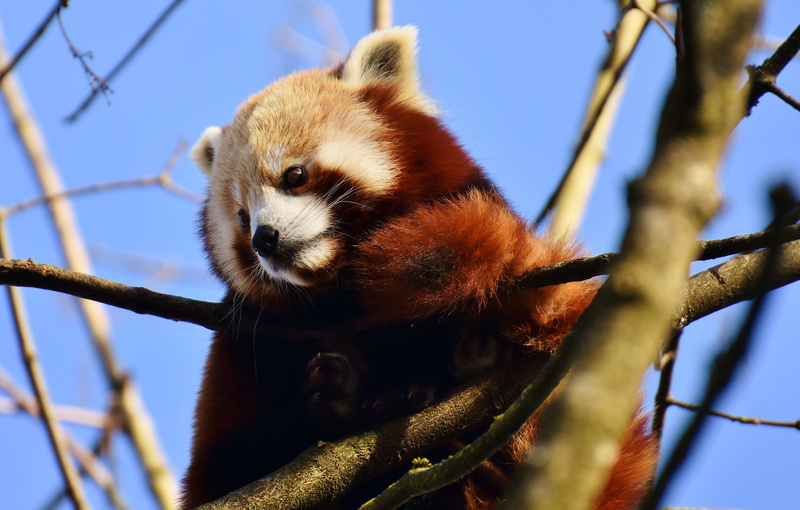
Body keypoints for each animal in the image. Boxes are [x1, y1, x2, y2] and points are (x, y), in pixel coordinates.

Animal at [182, 26, 657, 509]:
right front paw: (334, 398)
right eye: (243, 218)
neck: (343, 290)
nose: (265, 239)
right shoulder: (248, 344)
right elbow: (234, 462)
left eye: (293, 176)